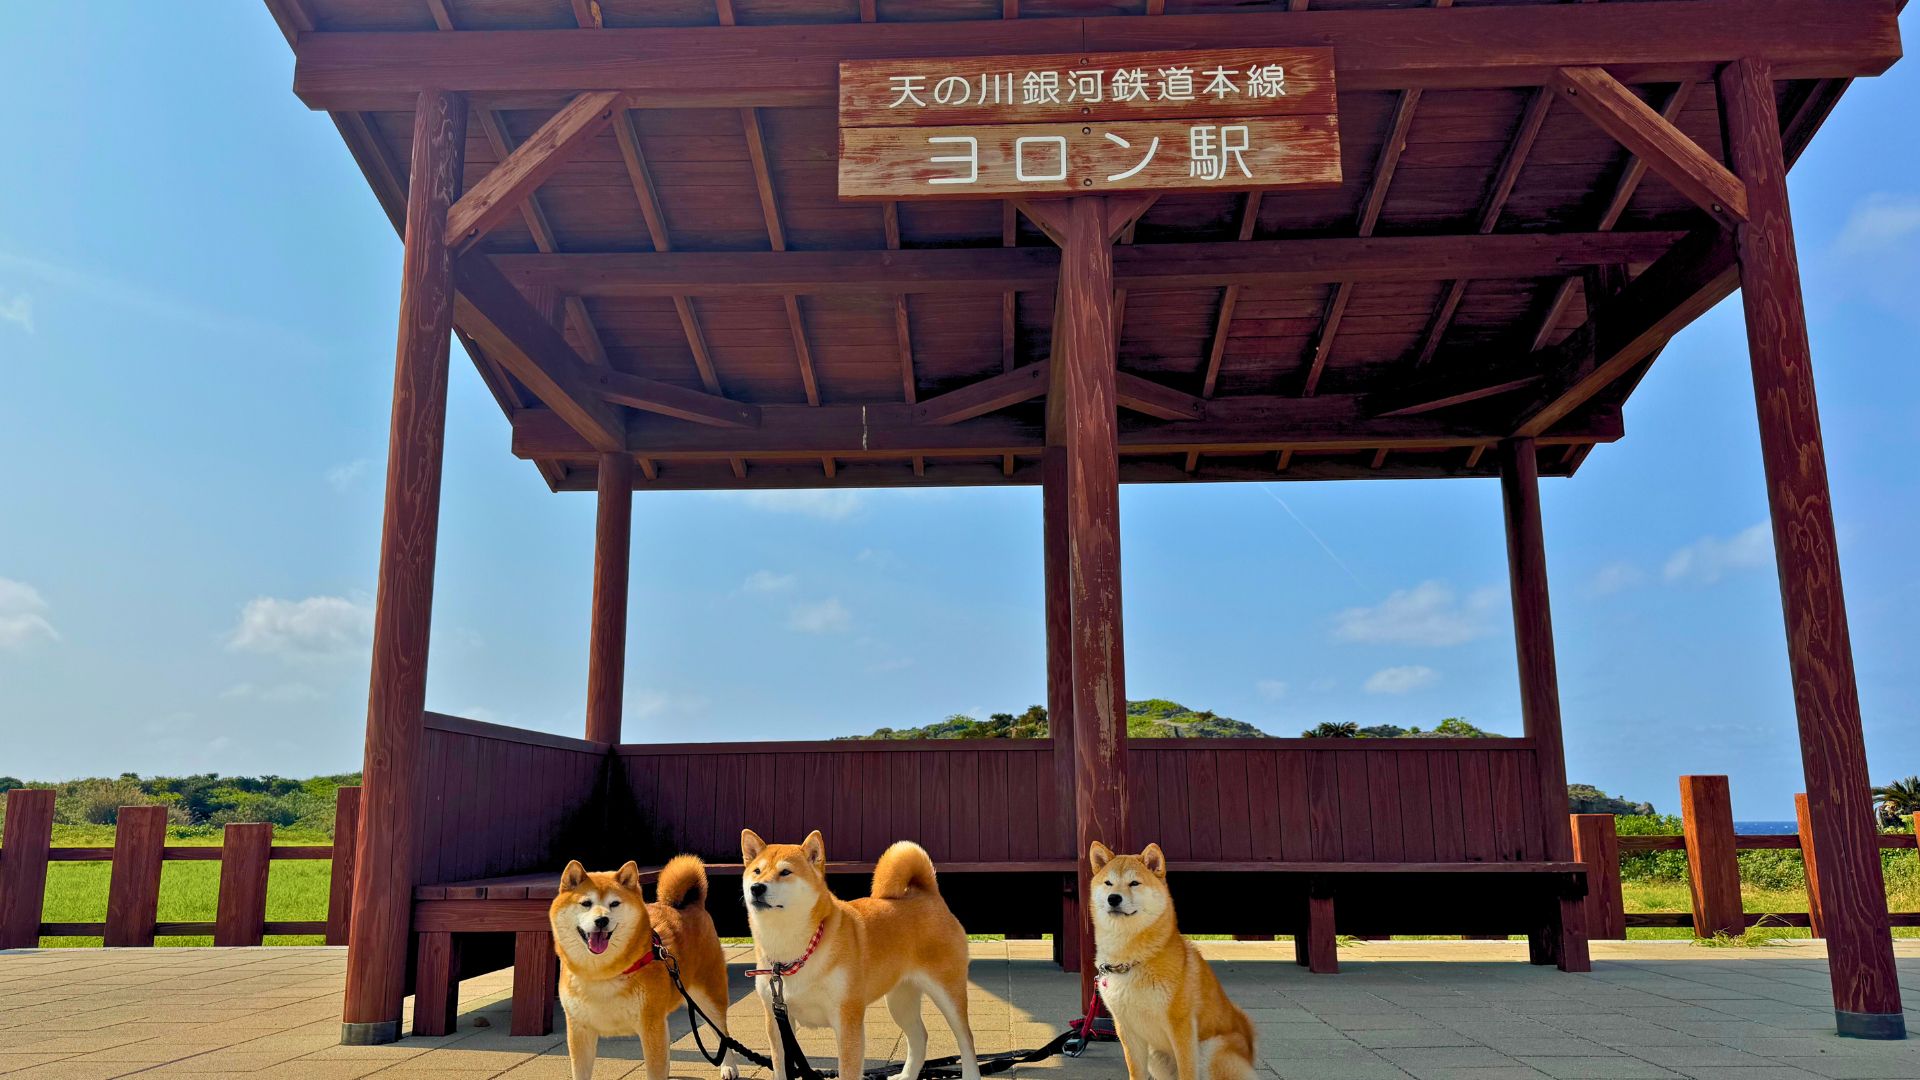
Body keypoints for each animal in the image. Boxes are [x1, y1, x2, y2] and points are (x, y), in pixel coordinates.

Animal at [556, 853, 741, 1068]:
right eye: (586, 903)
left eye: (614, 904)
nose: (601, 920)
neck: (602, 973)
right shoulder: (579, 1030)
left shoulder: (652, 1026)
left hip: (708, 998)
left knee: (722, 1034)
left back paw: (729, 1068)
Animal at [729, 826, 975, 1068]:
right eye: (757, 871)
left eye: (785, 872)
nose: (756, 888)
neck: (792, 952)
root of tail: (929, 895)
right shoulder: (778, 1020)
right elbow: (780, 1068)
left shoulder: (847, 1019)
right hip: (900, 999)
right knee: (919, 1037)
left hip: (947, 992)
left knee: (966, 1040)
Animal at [1098, 841, 1259, 1076]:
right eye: (1108, 883)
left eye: (1134, 883)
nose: (1113, 898)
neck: (1131, 959)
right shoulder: (1126, 1028)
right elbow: (1135, 1072)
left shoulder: (1181, 1025)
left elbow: (1187, 1071)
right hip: (1156, 1057)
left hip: (1210, 1050)